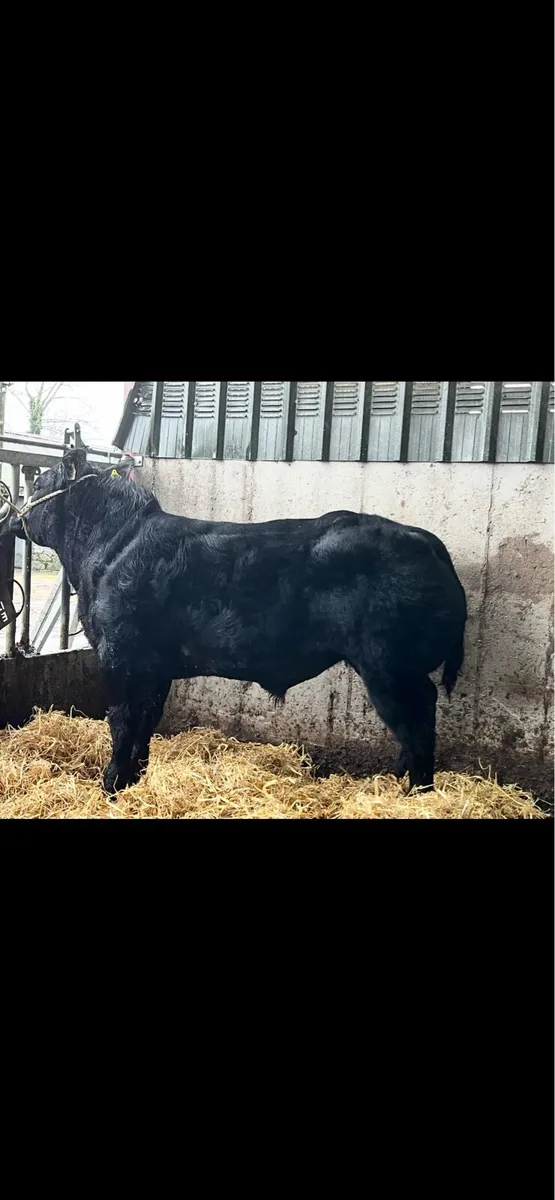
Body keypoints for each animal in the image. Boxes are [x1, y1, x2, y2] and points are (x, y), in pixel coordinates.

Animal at [7, 449, 467, 796]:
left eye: (40, 481)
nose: (11, 517)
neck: (111, 546)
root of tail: (424, 539)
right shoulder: (155, 668)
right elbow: (146, 721)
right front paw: (135, 779)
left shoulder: (122, 655)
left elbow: (122, 721)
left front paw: (112, 786)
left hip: (390, 666)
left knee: (416, 719)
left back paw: (416, 792)